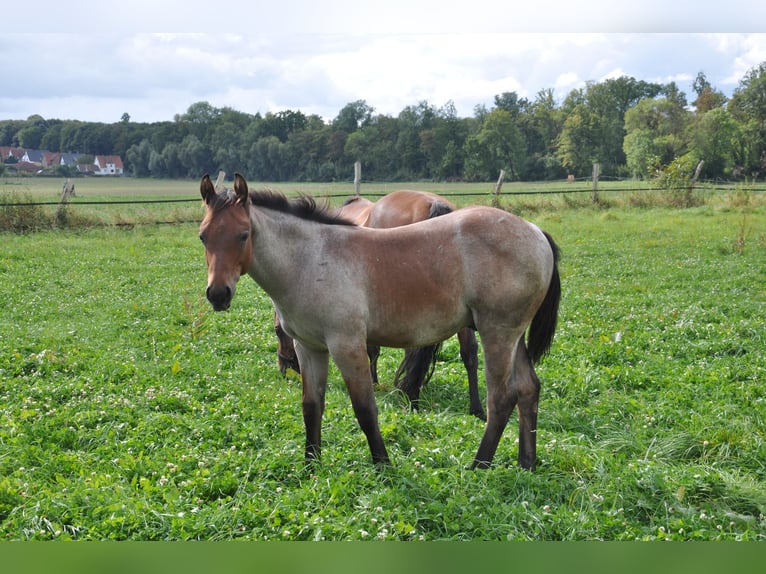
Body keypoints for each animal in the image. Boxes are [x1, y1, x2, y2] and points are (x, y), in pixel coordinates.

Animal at [274, 191, 486, 420]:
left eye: (278, 331)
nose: (285, 369)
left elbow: (372, 349)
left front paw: (373, 382)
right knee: (469, 351)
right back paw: (475, 408)